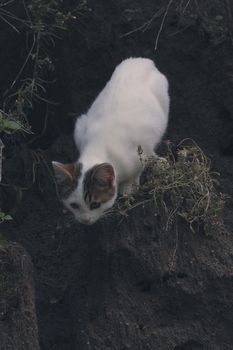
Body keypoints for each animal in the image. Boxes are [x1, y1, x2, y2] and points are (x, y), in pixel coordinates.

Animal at [52, 56, 169, 224]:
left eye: (95, 204)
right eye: (74, 205)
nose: (85, 221)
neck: (97, 147)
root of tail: (141, 60)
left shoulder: (141, 149)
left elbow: (140, 166)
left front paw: (130, 186)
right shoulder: (80, 129)